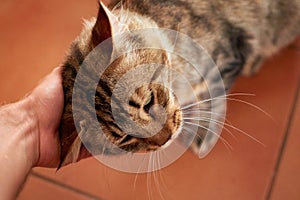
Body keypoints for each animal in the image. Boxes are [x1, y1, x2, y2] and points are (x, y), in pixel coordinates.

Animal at [58, 0, 300, 169]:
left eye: (148, 101)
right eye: (125, 138)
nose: (166, 139)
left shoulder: (224, 58)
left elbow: (211, 101)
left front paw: (202, 132)